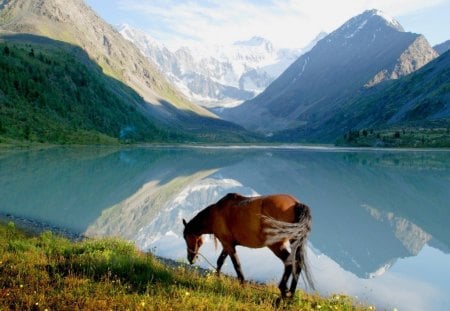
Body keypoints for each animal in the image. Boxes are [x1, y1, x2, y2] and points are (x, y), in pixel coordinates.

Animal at [181, 194, 314, 298]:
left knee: (289, 262)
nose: (191, 259)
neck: (215, 214)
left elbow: (236, 266)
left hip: (276, 245)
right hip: (294, 241)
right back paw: (290, 296)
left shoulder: (228, 245)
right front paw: (216, 280)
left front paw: (242, 287)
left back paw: (282, 293)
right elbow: (220, 262)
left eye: (185, 237)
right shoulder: (227, 245)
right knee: (297, 264)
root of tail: (296, 203)